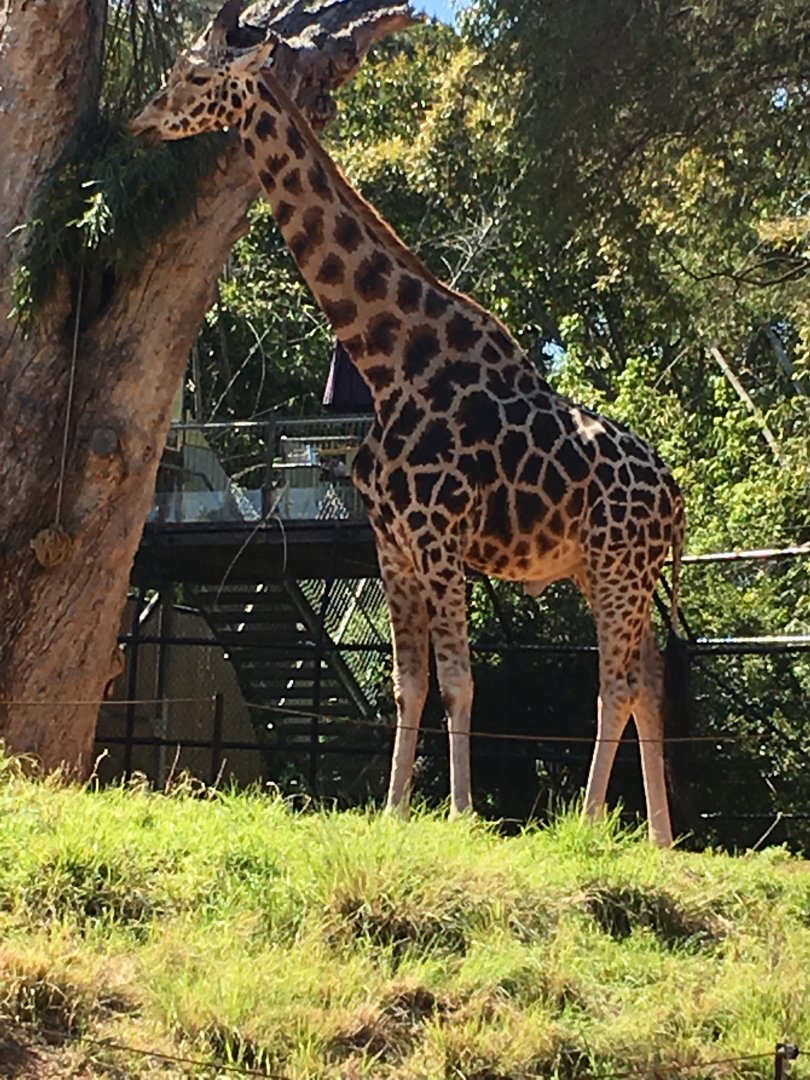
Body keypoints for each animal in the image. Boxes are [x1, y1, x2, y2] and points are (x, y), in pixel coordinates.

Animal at [132, 19, 687, 846]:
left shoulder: (439, 534)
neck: (391, 358)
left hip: (618, 565)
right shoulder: (391, 542)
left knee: (614, 684)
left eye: (198, 77)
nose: (142, 122)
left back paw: (589, 826)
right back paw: (659, 840)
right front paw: (395, 810)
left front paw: (458, 813)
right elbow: (409, 682)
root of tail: (677, 499)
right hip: (608, 569)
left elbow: (458, 679)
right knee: (646, 681)